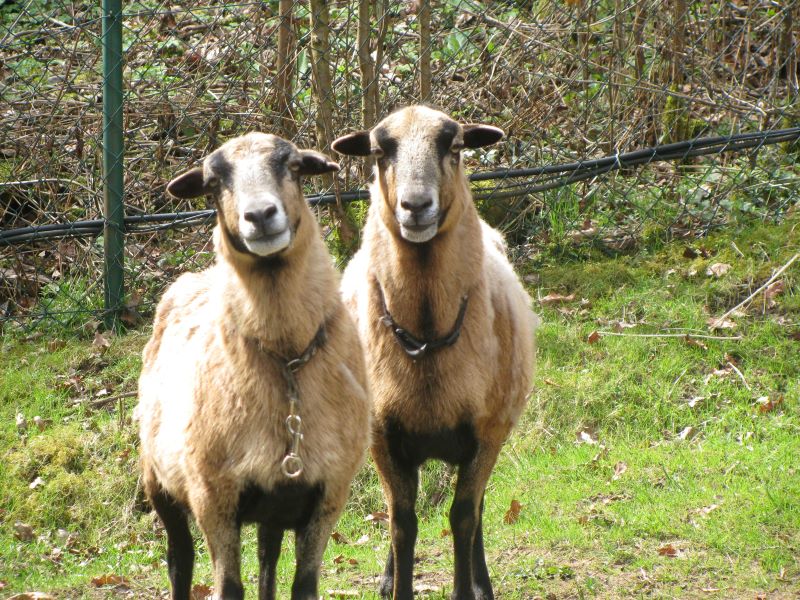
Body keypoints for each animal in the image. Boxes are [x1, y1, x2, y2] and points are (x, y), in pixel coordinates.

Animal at [137, 132, 372, 600]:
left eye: (294, 166)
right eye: (213, 183)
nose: (261, 215)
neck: (286, 362)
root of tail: (192, 278)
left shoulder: (328, 493)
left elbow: (302, 585)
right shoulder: (213, 496)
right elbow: (229, 586)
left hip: (274, 505)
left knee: (267, 559)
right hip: (159, 480)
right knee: (179, 560)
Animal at [332, 108, 536, 600]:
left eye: (455, 147)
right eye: (379, 151)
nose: (415, 206)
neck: (426, 335)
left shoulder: (487, 433)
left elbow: (463, 517)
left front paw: (468, 587)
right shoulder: (384, 437)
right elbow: (401, 524)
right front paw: (397, 584)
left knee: (477, 510)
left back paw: (482, 581)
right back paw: (388, 576)